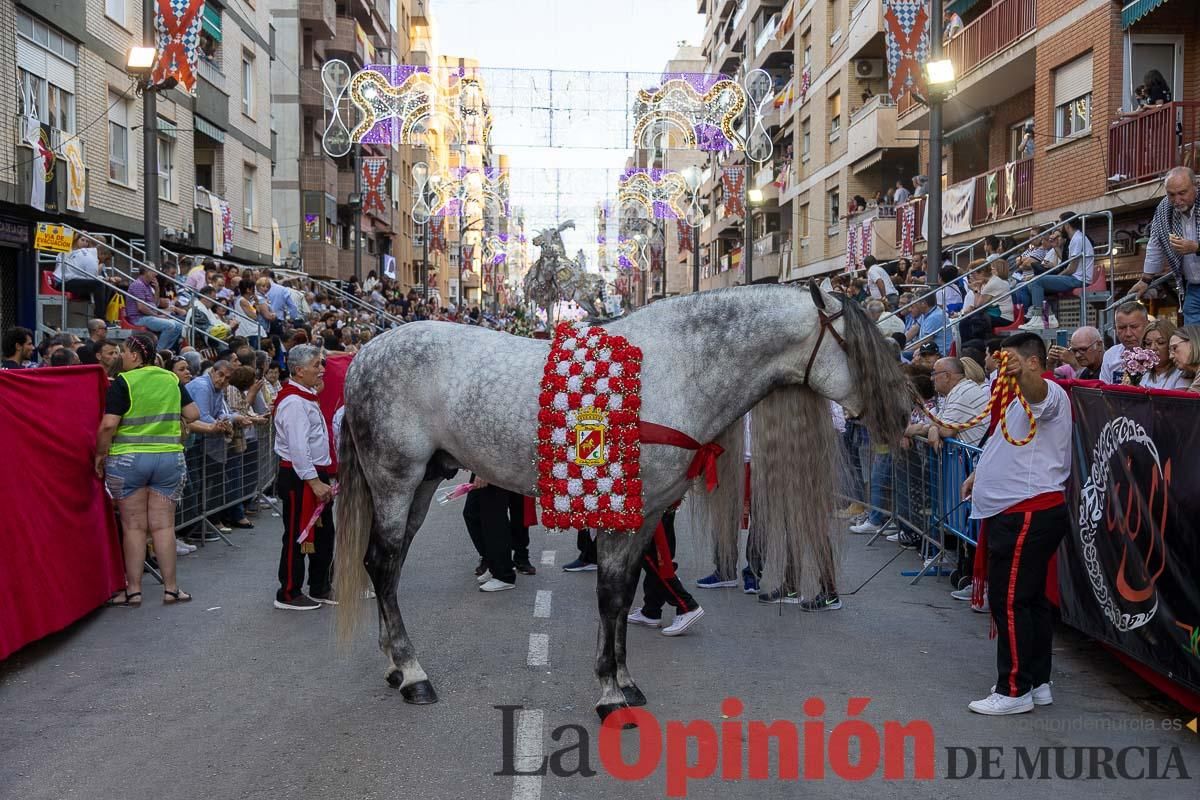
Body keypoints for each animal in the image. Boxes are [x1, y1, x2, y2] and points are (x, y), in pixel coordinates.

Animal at [333, 286, 902, 719]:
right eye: (857, 346)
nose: (901, 414)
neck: (675, 369)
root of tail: (365, 354)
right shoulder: (620, 515)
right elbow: (609, 597)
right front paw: (609, 694)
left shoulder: (646, 515)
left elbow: (625, 595)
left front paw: (624, 681)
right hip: (395, 480)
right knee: (382, 565)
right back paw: (412, 673)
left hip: (423, 484)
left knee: (388, 567)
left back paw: (396, 665)